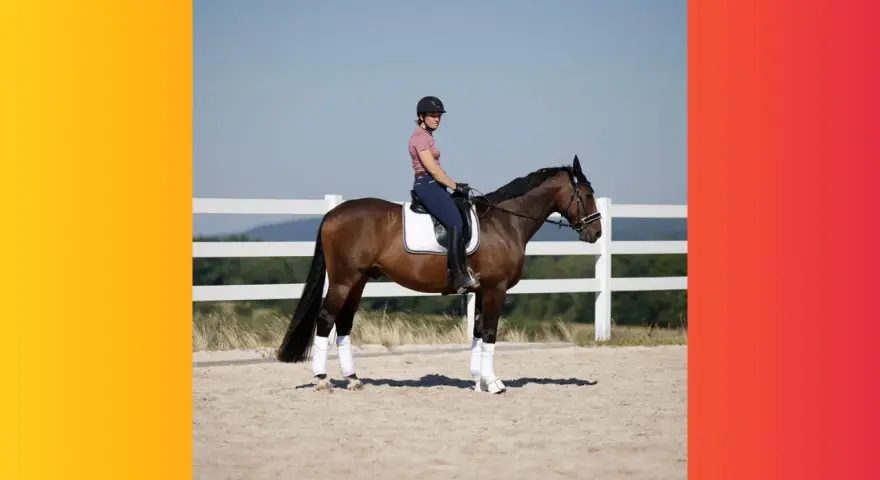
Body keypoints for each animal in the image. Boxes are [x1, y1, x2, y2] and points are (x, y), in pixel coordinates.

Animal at [276, 155, 602, 394]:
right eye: (587, 194)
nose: (596, 232)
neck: (504, 222)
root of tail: (332, 214)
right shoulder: (496, 289)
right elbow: (490, 333)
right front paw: (494, 383)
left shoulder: (482, 290)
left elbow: (478, 332)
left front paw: (477, 381)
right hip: (343, 281)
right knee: (325, 320)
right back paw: (322, 380)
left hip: (358, 282)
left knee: (343, 324)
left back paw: (354, 379)